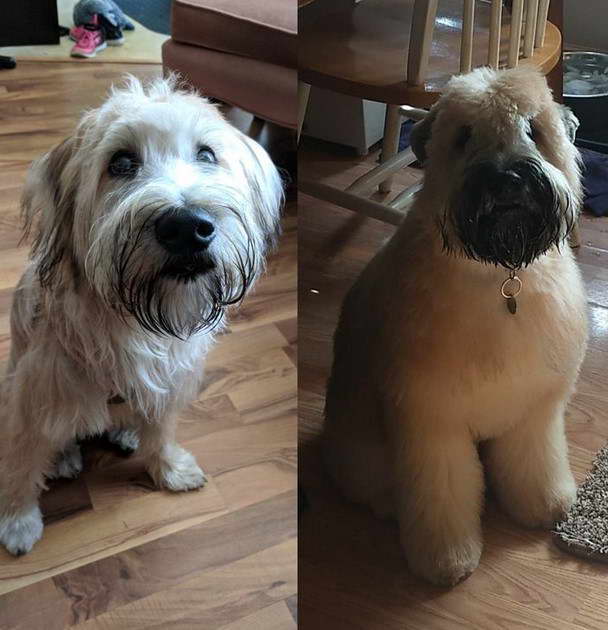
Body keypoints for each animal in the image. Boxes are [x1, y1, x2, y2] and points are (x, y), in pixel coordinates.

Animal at [326, 66, 588, 592]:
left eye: (533, 129)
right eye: (465, 136)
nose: (507, 180)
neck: (502, 281)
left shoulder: (534, 409)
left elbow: (535, 460)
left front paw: (543, 504)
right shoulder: (431, 424)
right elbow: (441, 497)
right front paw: (445, 558)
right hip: (363, 449)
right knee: (374, 485)